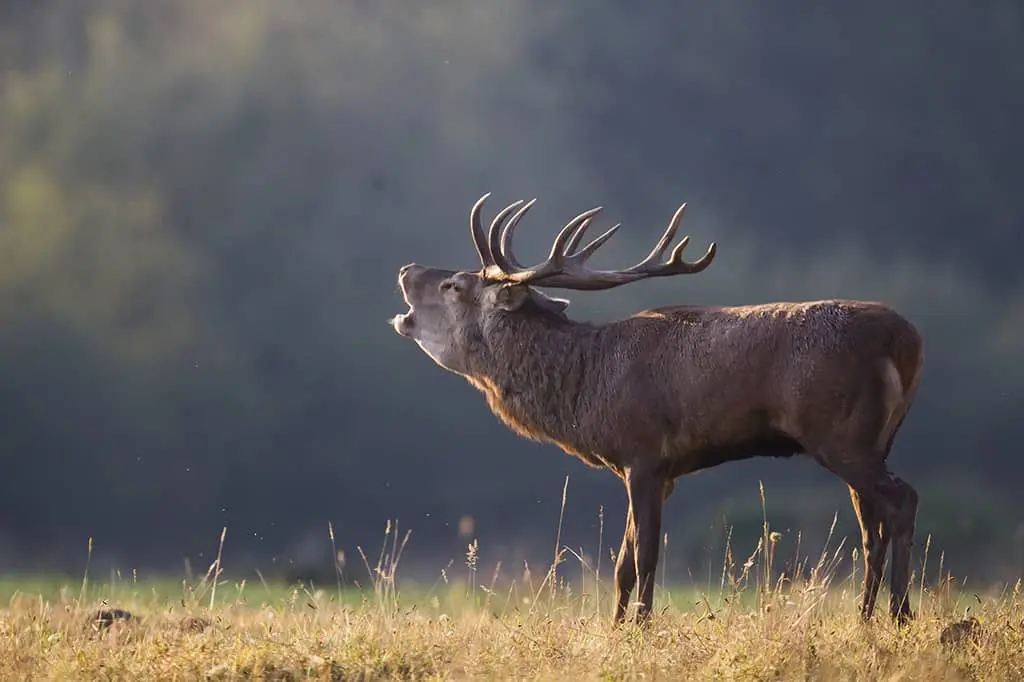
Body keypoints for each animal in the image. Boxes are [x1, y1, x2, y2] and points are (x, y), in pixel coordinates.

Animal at [390, 193, 924, 626]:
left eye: (455, 286)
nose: (406, 269)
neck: (586, 390)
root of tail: (907, 340)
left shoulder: (644, 454)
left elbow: (644, 556)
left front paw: (643, 629)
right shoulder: (655, 470)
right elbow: (622, 564)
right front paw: (616, 629)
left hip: (840, 433)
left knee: (902, 500)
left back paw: (900, 614)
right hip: (872, 439)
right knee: (870, 524)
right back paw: (865, 617)